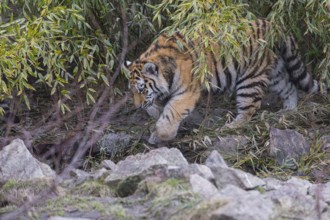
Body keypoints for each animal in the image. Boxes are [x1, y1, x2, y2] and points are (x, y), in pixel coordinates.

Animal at [125, 18, 324, 144]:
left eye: (141, 89)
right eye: (132, 91)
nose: (137, 106)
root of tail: (273, 25)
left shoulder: (186, 92)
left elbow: (171, 113)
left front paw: (162, 134)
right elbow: (162, 112)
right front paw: (156, 132)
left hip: (249, 79)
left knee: (248, 109)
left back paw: (229, 127)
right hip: (275, 73)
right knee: (289, 87)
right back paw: (289, 110)